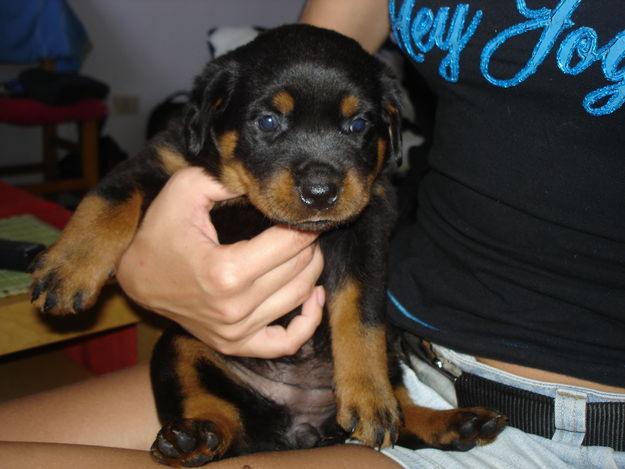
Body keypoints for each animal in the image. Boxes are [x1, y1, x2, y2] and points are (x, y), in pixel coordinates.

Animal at [30, 25, 508, 464]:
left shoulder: (367, 225)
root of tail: (301, 429)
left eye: (358, 124)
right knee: (223, 419)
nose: (321, 191)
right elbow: (108, 199)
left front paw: (369, 397)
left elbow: (360, 314)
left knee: (400, 402)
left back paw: (455, 422)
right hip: (179, 346)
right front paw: (66, 270)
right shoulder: (163, 160)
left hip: (390, 351)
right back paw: (192, 437)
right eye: (268, 122)